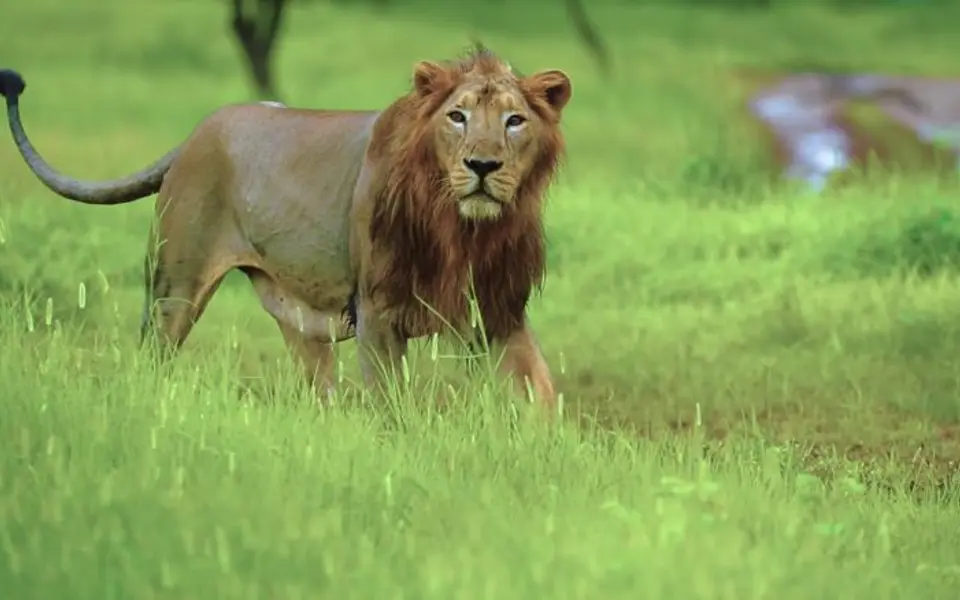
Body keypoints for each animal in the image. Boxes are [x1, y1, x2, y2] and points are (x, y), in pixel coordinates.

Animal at [0, 46, 572, 408]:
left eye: (514, 121)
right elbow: (391, 406)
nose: (483, 165)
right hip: (173, 289)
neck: (462, 229)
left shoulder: (499, 309)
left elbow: (541, 393)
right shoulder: (377, 311)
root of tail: (194, 134)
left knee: (318, 387)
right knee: (151, 357)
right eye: (457, 116)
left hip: (296, 317)